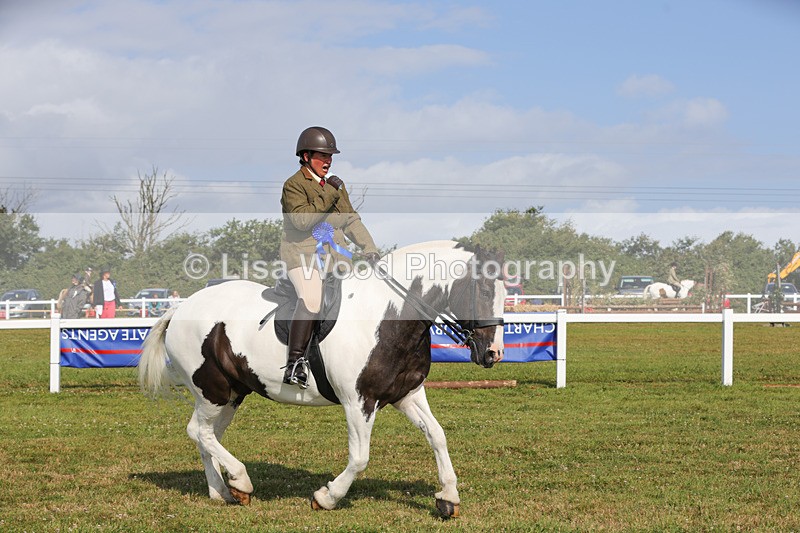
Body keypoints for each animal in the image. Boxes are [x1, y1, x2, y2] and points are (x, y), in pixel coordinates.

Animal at [138, 240, 506, 517]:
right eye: (486, 289)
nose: (493, 354)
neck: (389, 316)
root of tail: (182, 307)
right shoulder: (358, 400)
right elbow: (360, 458)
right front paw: (327, 497)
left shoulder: (407, 394)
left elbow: (437, 436)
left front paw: (448, 497)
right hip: (211, 390)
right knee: (198, 431)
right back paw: (240, 481)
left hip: (232, 393)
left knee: (208, 435)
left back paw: (222, 490)